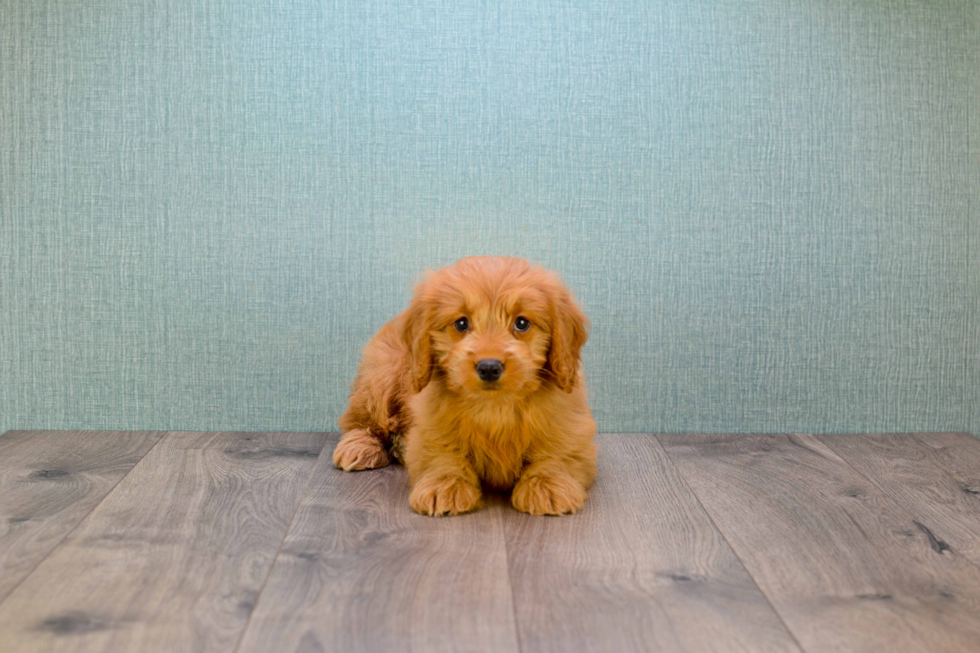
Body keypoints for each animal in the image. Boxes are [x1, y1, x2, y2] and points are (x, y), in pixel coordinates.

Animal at [334, 255, 596, 516]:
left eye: (522, 323)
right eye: (461, 323)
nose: (489, 367)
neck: (495, 406)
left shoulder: (570, 423)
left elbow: (560, 450)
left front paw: (546, 484)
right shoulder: (430, 422)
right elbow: (441, 451)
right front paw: (445, 484)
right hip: (382, 374)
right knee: (360, 420)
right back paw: (359, 446)